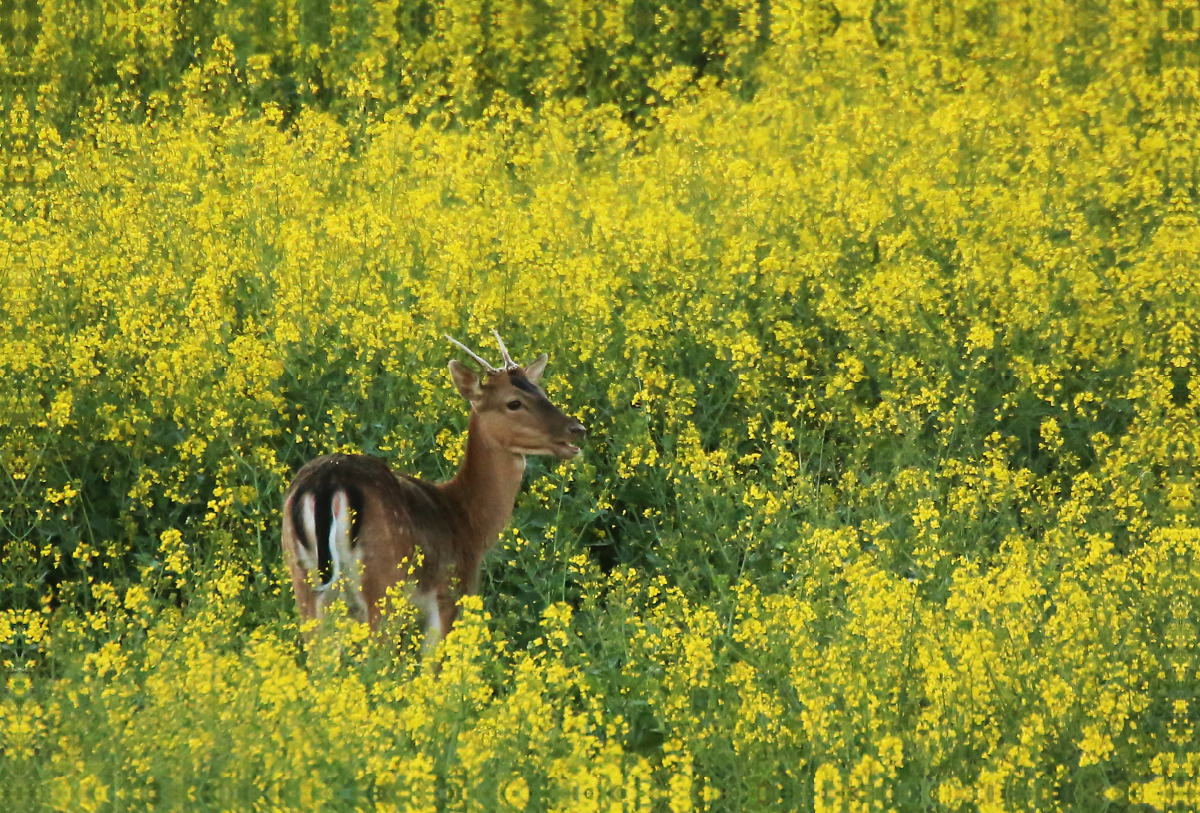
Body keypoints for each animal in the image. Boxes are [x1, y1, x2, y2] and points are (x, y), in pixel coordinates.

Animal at [277, 333, 585, 647]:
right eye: (513, 402)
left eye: (542, 392)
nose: (576, 429)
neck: (467, 521)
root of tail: (325, 486)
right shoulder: (450, 594)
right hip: (382, 581)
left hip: (302, 575)